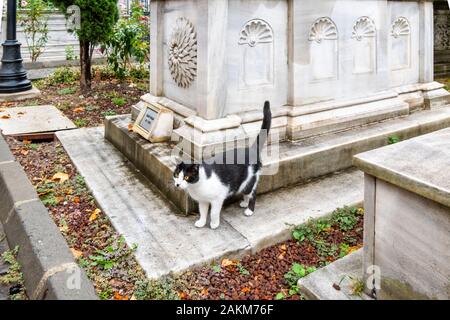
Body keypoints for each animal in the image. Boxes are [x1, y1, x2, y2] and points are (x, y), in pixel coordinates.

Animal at [172, 101, 270, 229]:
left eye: (187, 177)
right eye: (176, 175)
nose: (177, 184)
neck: (197, 186)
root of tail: (252, 150)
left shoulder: (217, 198)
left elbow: (213, 212)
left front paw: (214, 224)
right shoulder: (203, 201)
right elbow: (202, 211)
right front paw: (201, 222)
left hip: (249, 180)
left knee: (252, 193)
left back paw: (249, 210)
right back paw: (244, 203)